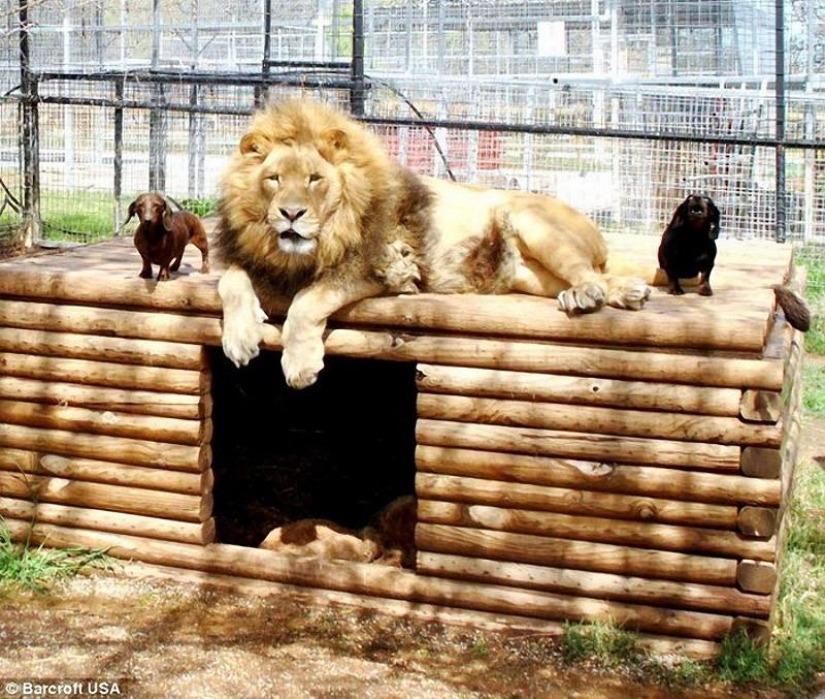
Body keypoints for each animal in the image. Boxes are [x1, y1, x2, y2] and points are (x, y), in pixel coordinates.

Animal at [215, 99, 653, 389]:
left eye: (314, 179)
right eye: (274, 179)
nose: (290, 213)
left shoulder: (383, 267)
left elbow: (308, 300)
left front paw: (300, 365)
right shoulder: (248, 260)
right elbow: (229, 283)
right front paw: (240, 340)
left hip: (534, 222)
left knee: (589, 273)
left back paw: (595, 295)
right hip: (531, 276)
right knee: (595, 276)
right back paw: (620, 293)